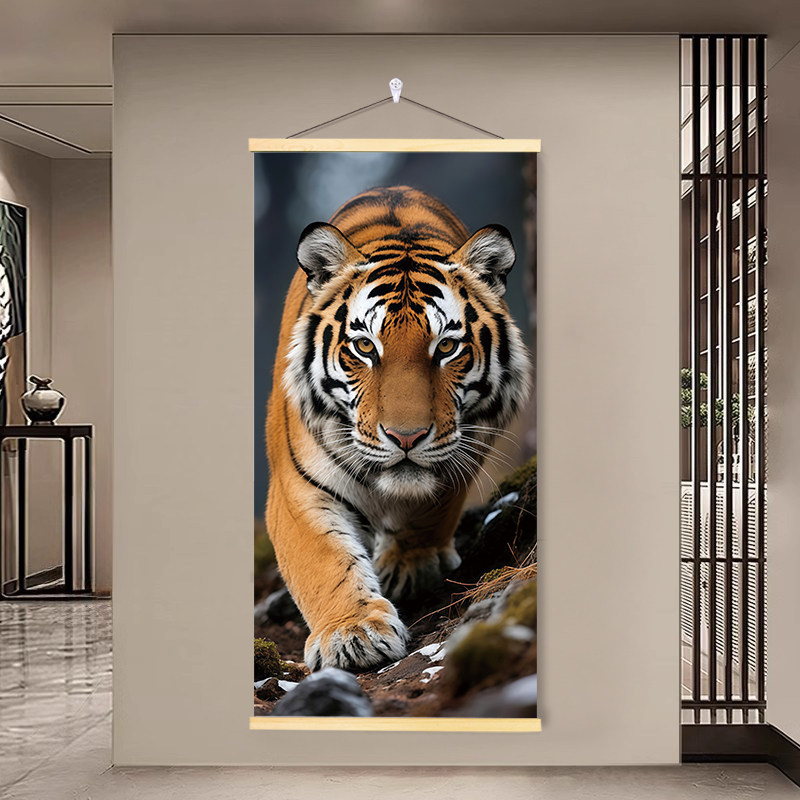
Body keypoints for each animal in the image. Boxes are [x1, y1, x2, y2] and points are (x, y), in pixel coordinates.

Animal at [265, 186, 531, 672]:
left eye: (446, 347)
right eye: (365, 347)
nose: (406, 438)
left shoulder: (468, 444)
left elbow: (433, 506)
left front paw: (411, 565)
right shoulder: (297, 487)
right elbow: (323, 560)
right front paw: (354, 632)